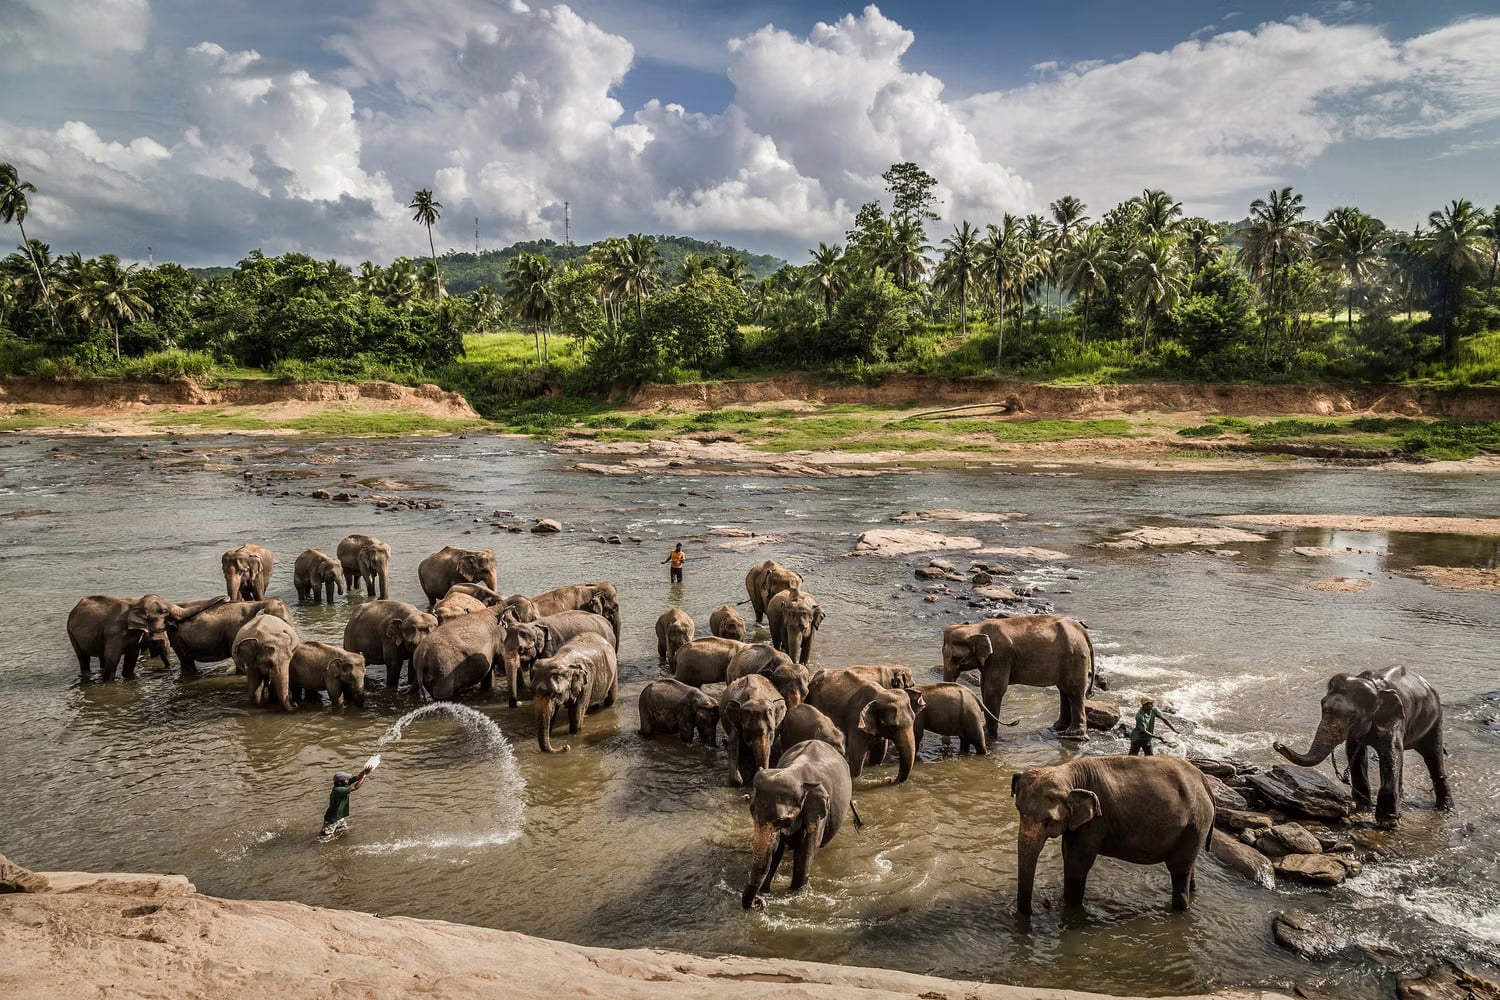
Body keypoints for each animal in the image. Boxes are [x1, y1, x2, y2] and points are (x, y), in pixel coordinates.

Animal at [67, 594, 197, 681]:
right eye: (164, 611)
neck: (136, 603)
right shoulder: (113, 633)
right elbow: (112, 658)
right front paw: (108, 683)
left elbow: (132, 657)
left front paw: (129, 678)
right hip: (71, 633)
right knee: (83, 658)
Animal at [742, 739, 854, 911]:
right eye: (751, 811)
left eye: (782, 820)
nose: (758, 902)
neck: (793, 772)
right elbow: (776, 851)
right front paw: (765, 892)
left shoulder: (819, 813)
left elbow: (805, 854)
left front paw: (793, 894)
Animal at [942, 615, 1096, 742]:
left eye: (955, 658)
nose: (1015, 722)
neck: (976, 628)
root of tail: (1082, 630)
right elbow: (984, 687)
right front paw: (985, 729)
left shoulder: (999, 657)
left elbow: (993, 690)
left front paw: (989, 736)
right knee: (1064, 690)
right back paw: (1058, 727)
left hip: (1075, 656)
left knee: (1074, 692)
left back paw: (1074, 735)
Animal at [1011, 755, 1215, 916]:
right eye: (1019, 810)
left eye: (1048, 821)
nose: (1039, 908)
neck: (1068, 772)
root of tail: (1203, 781)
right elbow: (1068, 854)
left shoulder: (1096, 822)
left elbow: (1077, 863)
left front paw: (1071, 908)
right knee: (1188, 867)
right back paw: (1193, 891)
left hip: (1195, 824)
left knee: (1179, 870)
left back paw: (1180, 909)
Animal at [1274, 665, 1450, 825]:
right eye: (1322, 705)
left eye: (1353, 715)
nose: (1277, 744)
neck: (1371, 684)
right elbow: (1355, 752)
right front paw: (1362, 808)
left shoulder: (1394, 719)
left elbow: (1390, 753)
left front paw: (1387, 823)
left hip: (1436, 718)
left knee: (1433, 755)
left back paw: (1445, 809)